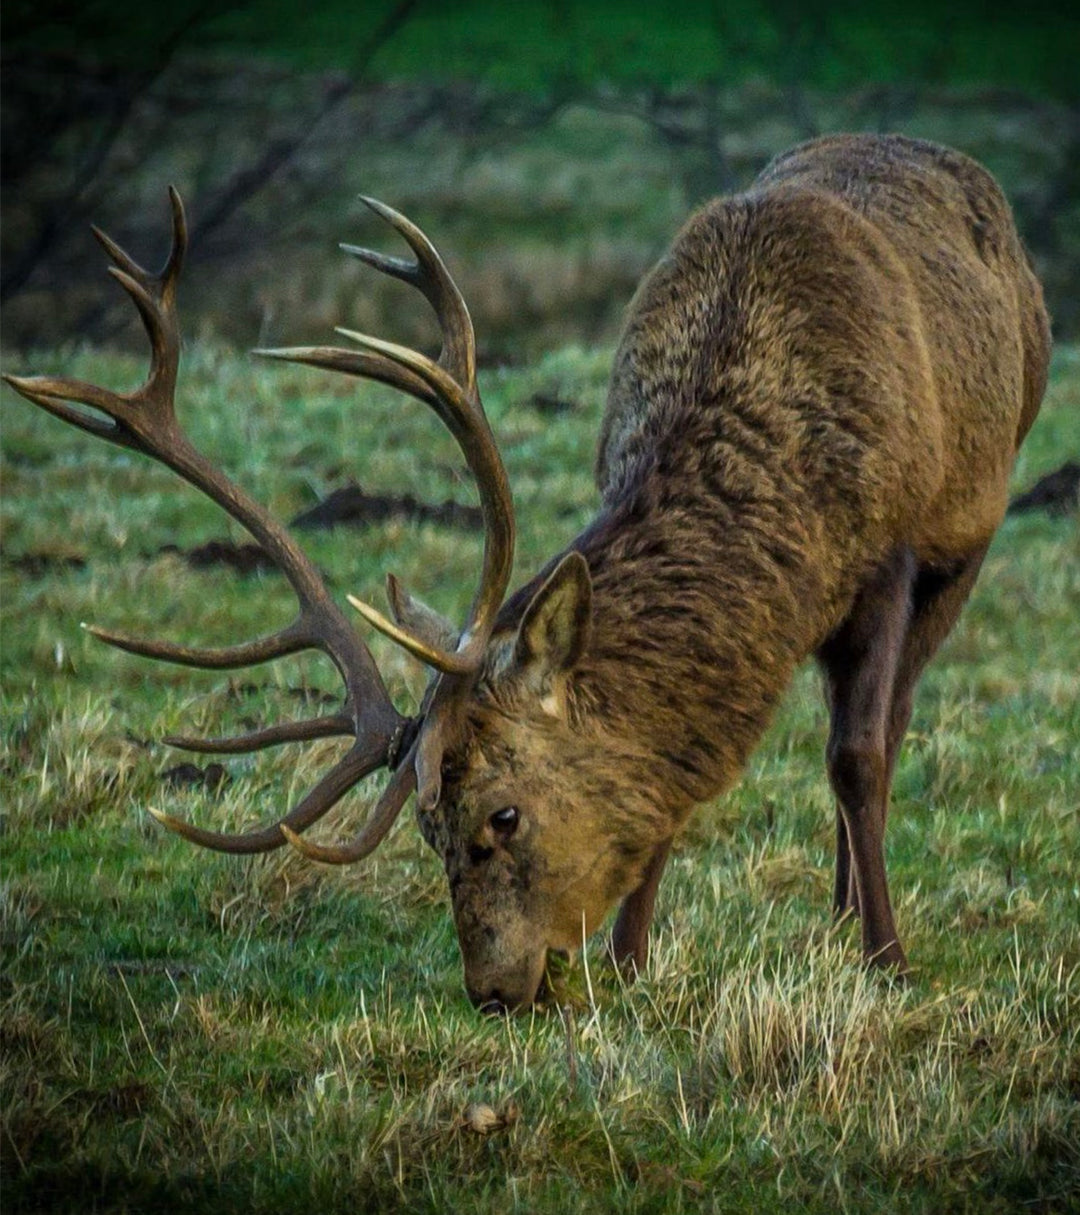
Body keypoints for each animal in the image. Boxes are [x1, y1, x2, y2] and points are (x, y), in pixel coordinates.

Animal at [6, 134, 1050, 1013]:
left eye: (502, 815)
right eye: (428, 832)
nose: (496, 990)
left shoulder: (895, 555)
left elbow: (857, 755)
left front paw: (889, 961)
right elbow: (668, 768)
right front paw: (630, 962)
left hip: (976, 526)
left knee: (887, 724)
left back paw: (850, 918)